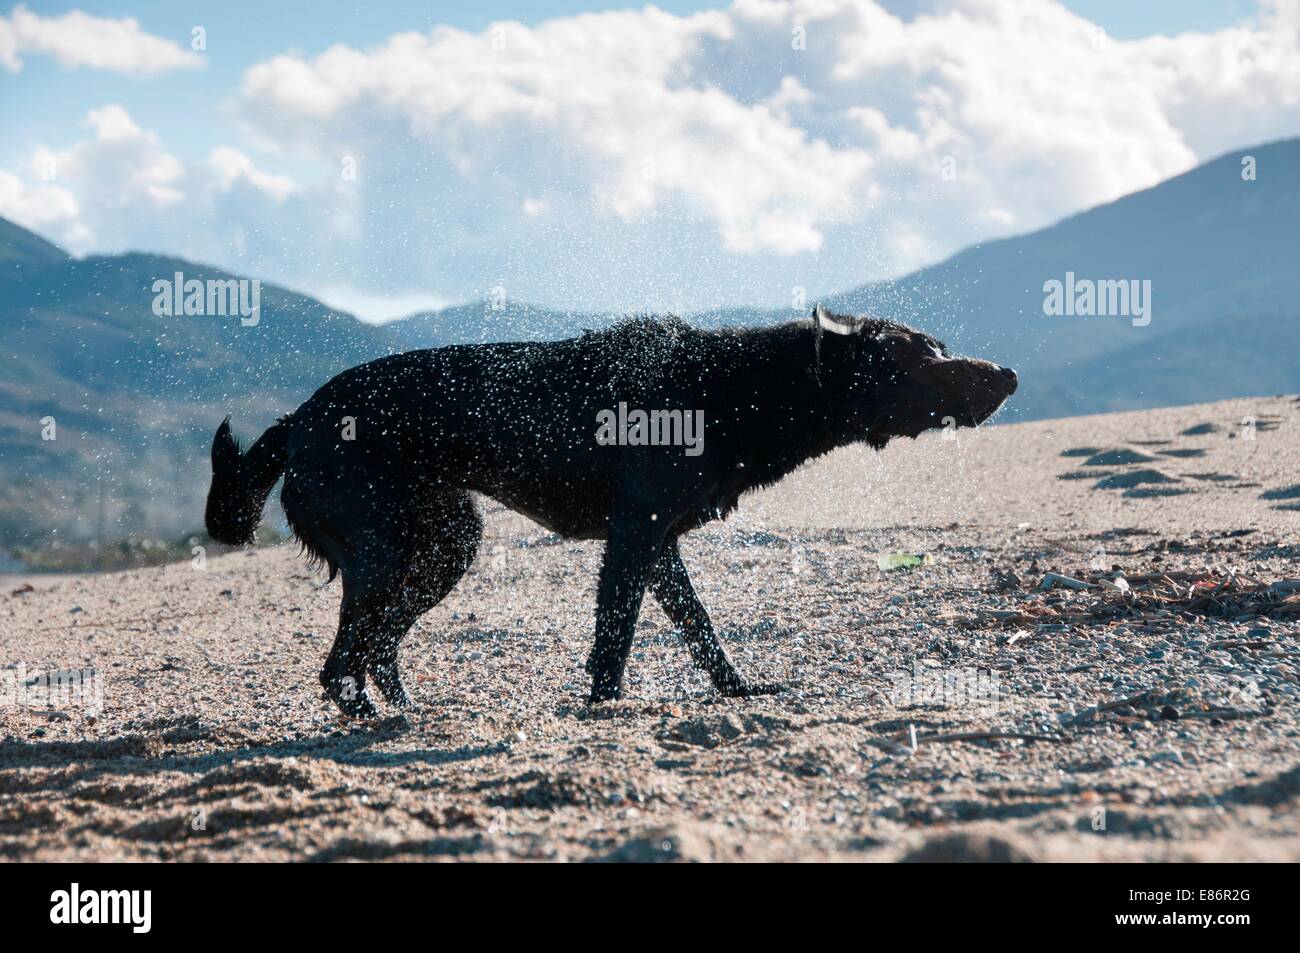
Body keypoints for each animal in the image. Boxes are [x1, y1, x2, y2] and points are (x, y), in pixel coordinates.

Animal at [205, 304, 1013, 712]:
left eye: (940, 347)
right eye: (922, 357)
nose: (1005, 373)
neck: (738, 385)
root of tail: (298, 419)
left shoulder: (660, 547)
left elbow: (700, 629)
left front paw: (737, 689)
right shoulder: (633, 538)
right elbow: (615, 640)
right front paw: (607, 705)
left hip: (446, 546)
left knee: (378, 646)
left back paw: (405, 710)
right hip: (383, 551)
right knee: (341, 662)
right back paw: (371, 719)